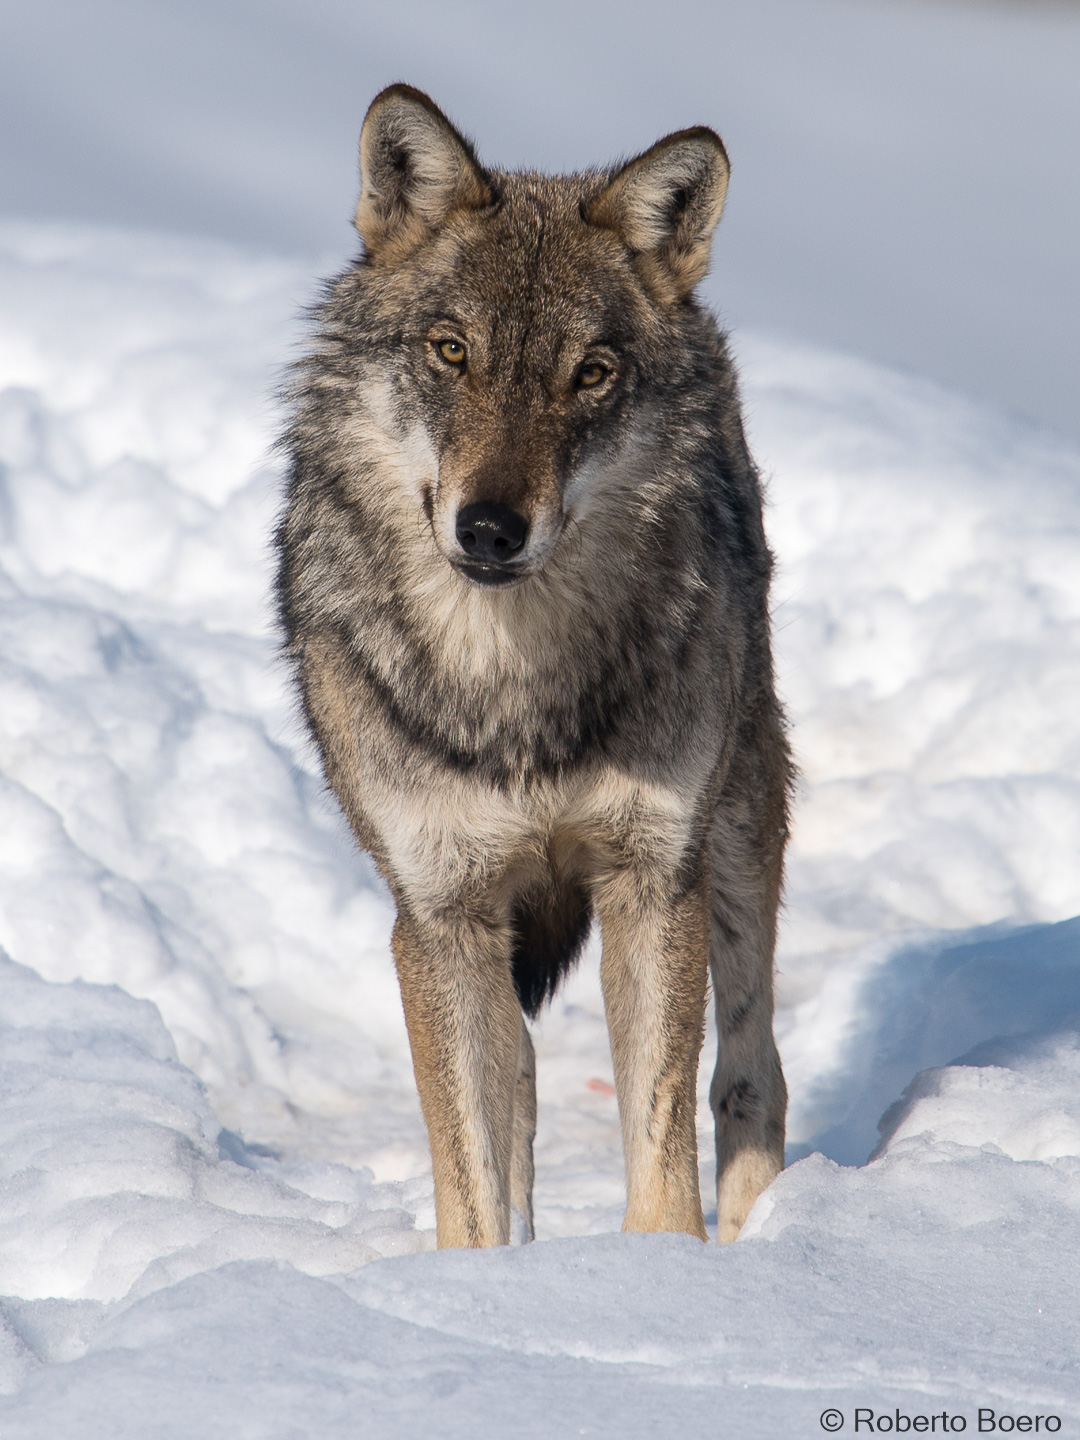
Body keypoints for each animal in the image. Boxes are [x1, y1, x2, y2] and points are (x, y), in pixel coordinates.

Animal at [277, 84, 791, 1248]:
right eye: (450, 351)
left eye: (589, 374)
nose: (491, 528)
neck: (517, 688)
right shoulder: (440, 915)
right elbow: (472, 1173)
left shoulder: (653, 878)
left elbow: (661, 1145)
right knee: (517, 1095)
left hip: (740, 830)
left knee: (752, 1075)